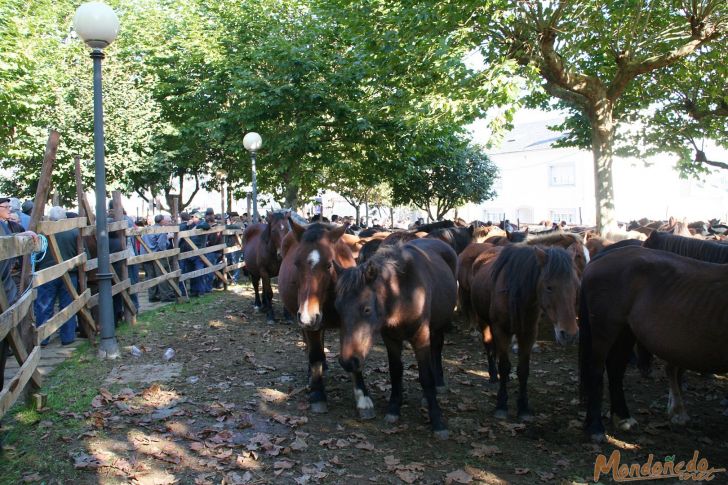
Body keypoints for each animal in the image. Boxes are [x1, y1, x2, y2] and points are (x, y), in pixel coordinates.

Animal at [278, 219, 366, 416]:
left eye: (329, 265)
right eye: (296, 264)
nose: (307, 317)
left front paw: (363, 398)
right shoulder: (311, 323)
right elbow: (315, 355)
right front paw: (318, 394)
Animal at [336, 238, 456, 438]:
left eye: (367, 309)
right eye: (338, 308)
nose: (348, 362)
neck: (401, 292)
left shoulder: (421, 337)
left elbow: (426, 377)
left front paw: (437, 421)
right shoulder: (390, 339)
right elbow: (395, 371)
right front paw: (394, 408)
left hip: (439, 325)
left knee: (436, 349)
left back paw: (438, 385)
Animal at [472, 246, 580, 420]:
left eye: (576, 286)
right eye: (549, 287)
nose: (569, 335)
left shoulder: (528, 333)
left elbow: (523, 370)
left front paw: (523, 407)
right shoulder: (501, 330)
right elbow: (504, 366)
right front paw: (501, 404)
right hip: (483, 321)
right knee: (489, 346)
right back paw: (493, 375)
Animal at [580, 246, 728, 442]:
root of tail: (603, 256)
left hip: (626, 331)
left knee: (615, 369)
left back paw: (623, 416)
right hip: (605, 328)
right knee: (596, 371)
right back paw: (595, 427)